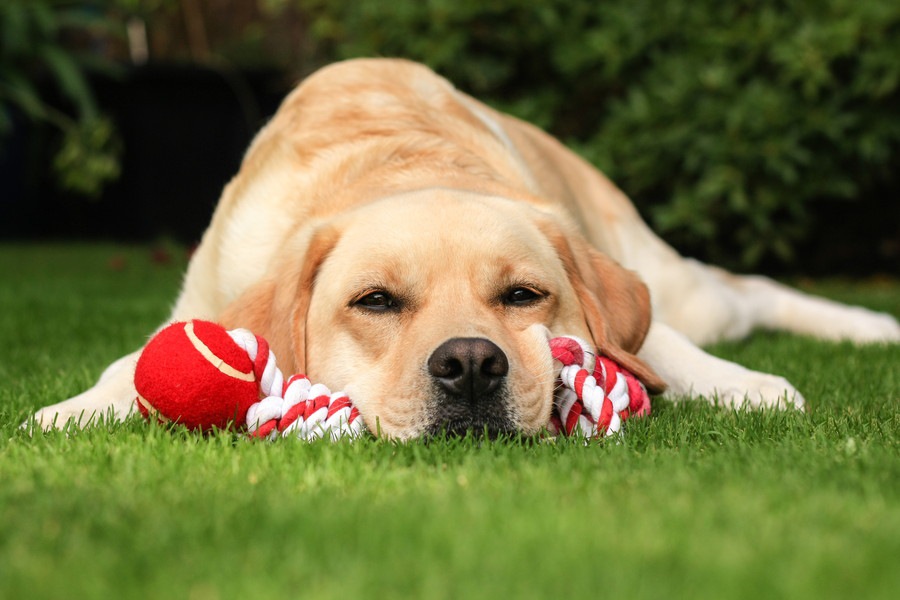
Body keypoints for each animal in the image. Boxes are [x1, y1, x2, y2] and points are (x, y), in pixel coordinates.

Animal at [29, 58, 900, 438]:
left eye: (522, 296)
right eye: (375, 301)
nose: (473, 364)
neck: (393, 169)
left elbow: (660, 348)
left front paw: (750, 388)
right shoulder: (204, 301)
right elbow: (134, 363)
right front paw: (73, 409)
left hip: (680, 282)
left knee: (742, 289)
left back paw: (870, 327)